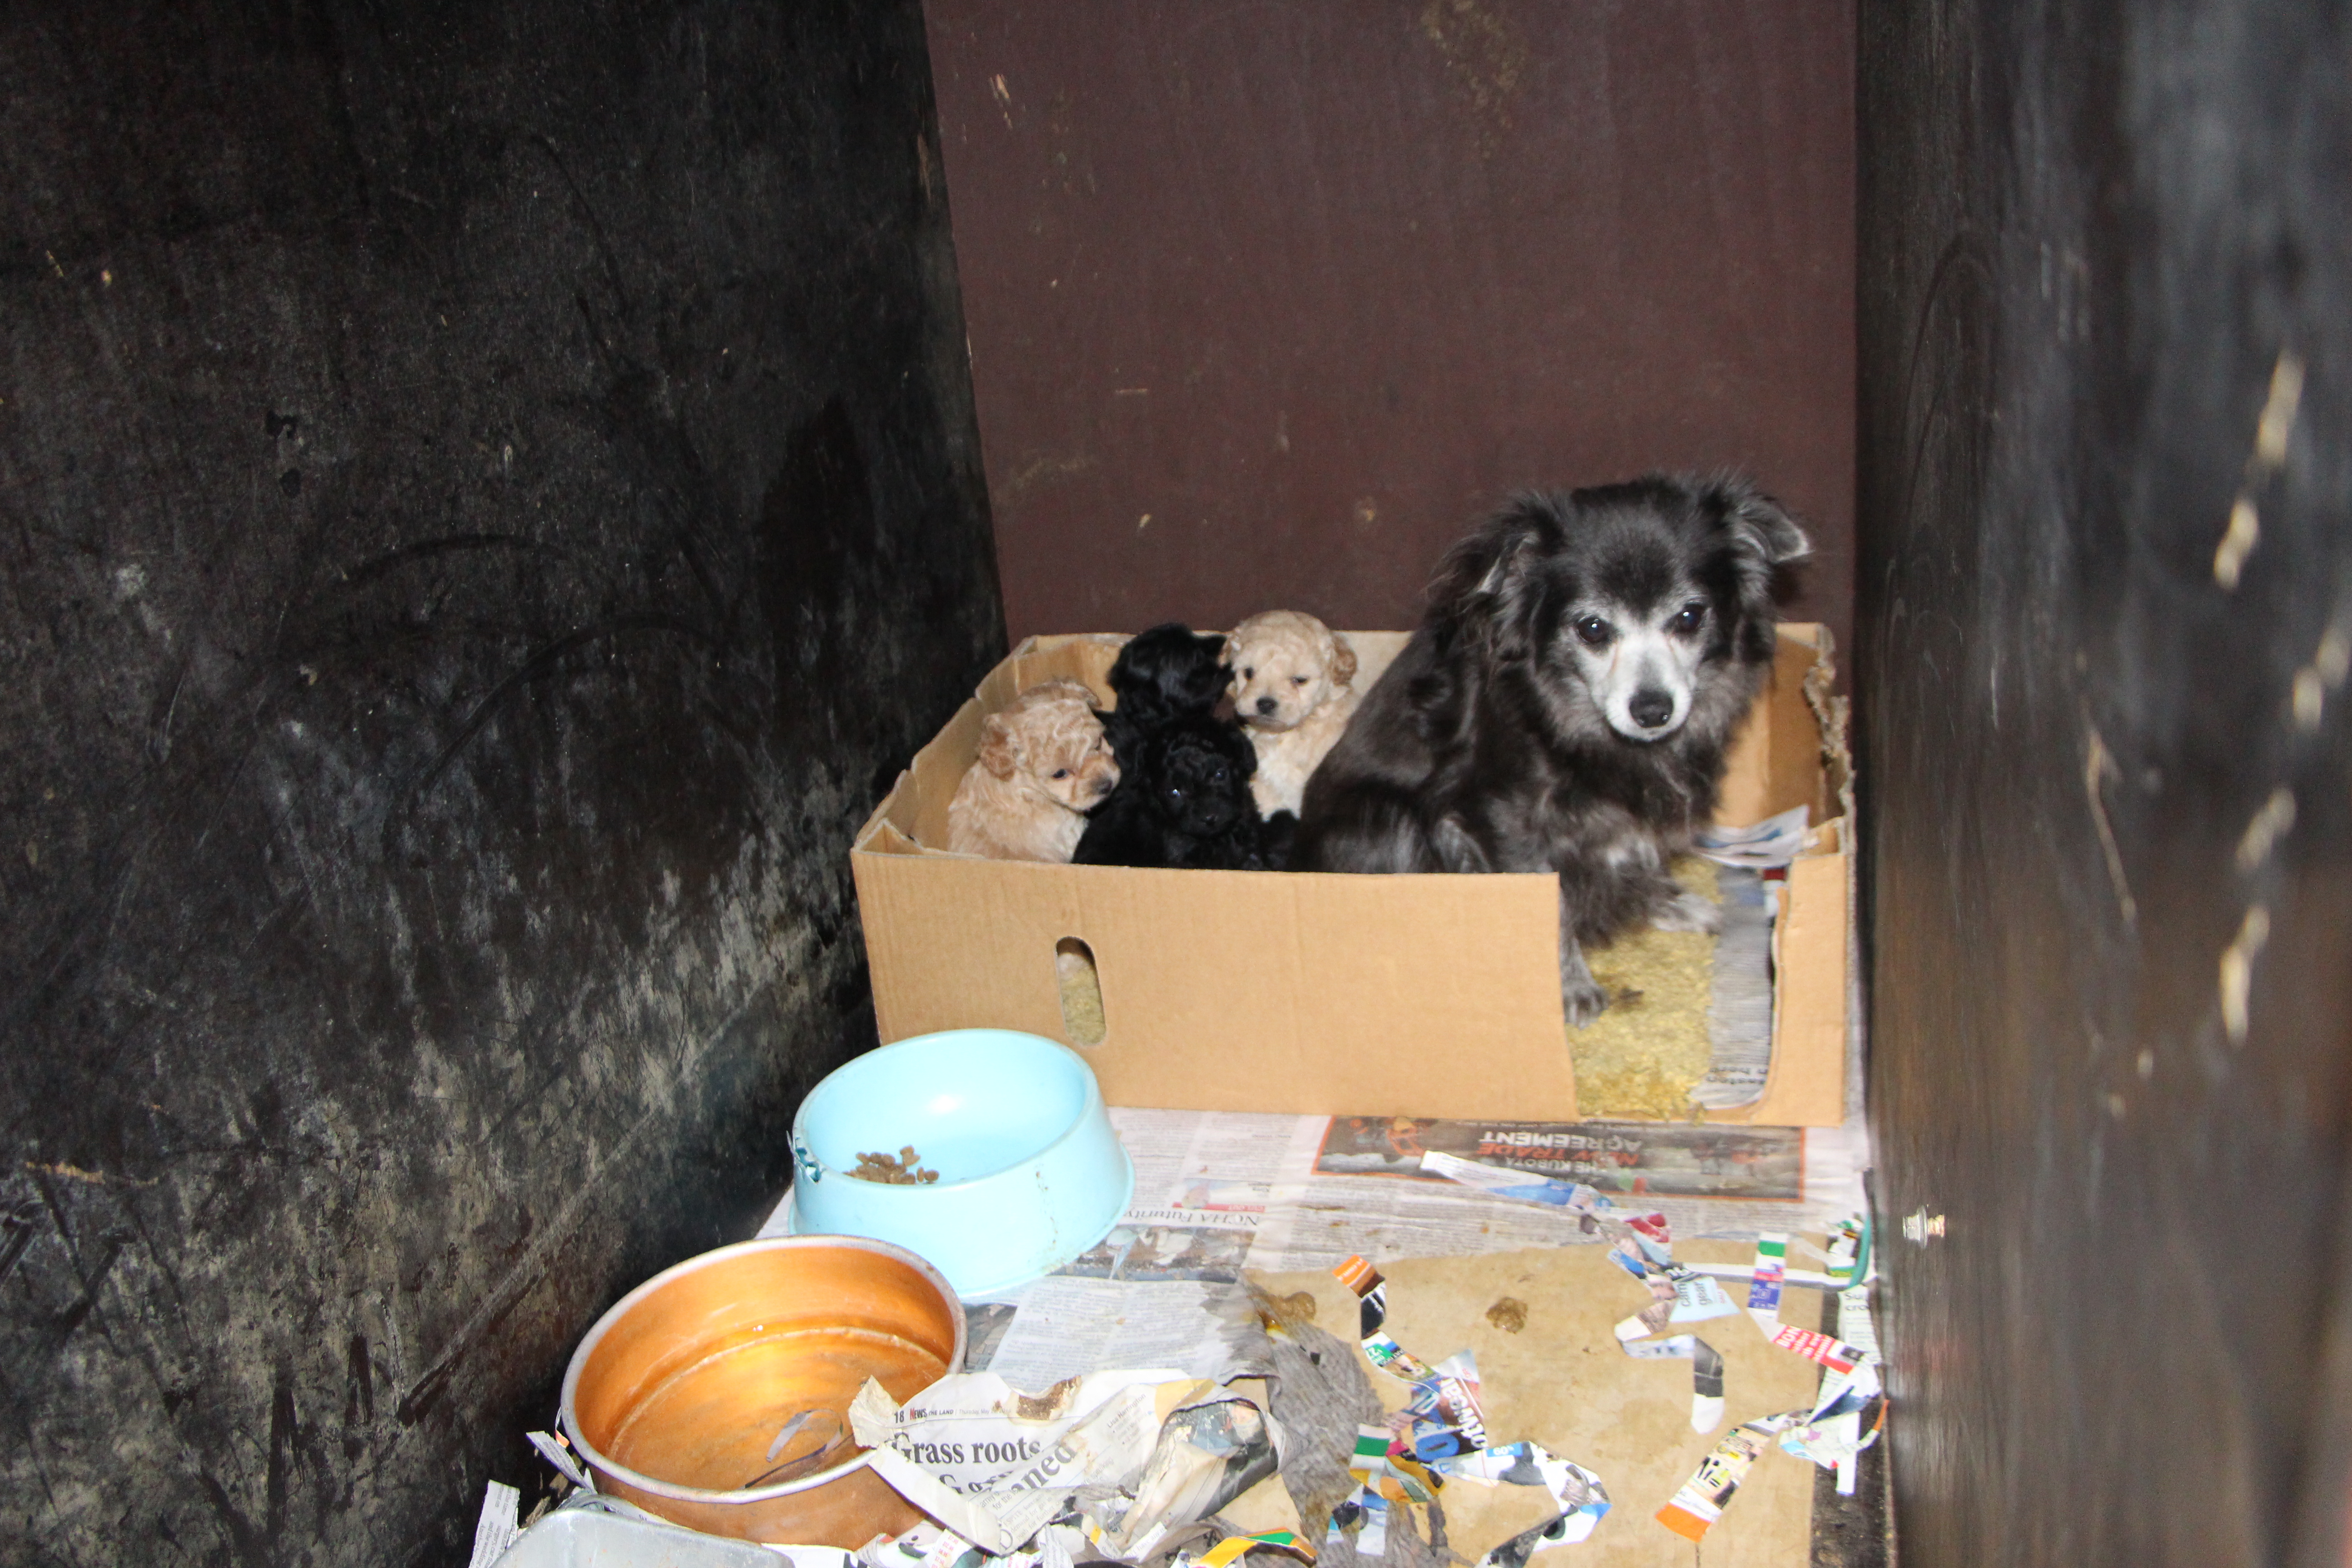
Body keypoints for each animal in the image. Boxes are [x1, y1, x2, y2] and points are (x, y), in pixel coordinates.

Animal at [1298, 472, 1806, 1025]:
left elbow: (1641, 852)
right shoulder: (1500, 819)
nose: (1653, 709)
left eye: (1690, 617)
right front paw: (1568, 987)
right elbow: (1551, 902)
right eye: (1592, 629)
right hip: (1391, 824)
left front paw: (1664, 902)